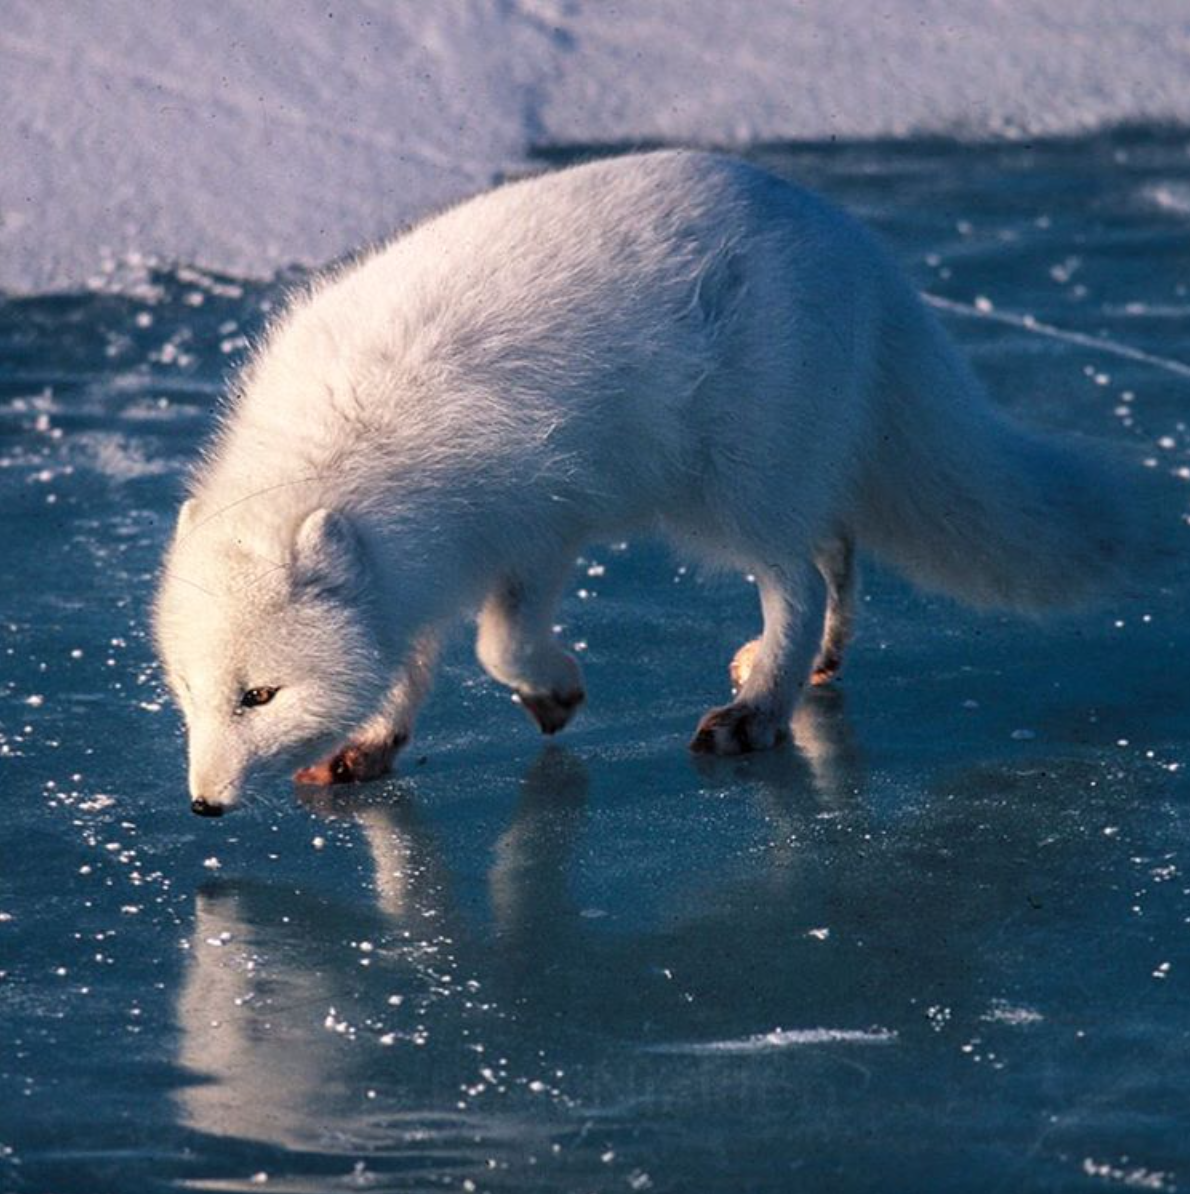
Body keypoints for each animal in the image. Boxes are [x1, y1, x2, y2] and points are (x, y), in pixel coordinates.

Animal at [155, 149, 1131, 816]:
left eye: (260, 695)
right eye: (191, 692)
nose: (203, 803)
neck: (355, 442)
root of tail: (854, 241)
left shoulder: (537, 524)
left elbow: (497, 644)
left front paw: (553, 691)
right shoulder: (421, 565)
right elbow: (410, 662)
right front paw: (370, 746)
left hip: (727, 490)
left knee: (799, 578)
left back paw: (757, 709)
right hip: (782, 472)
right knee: (837, 543)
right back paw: (809, 665)